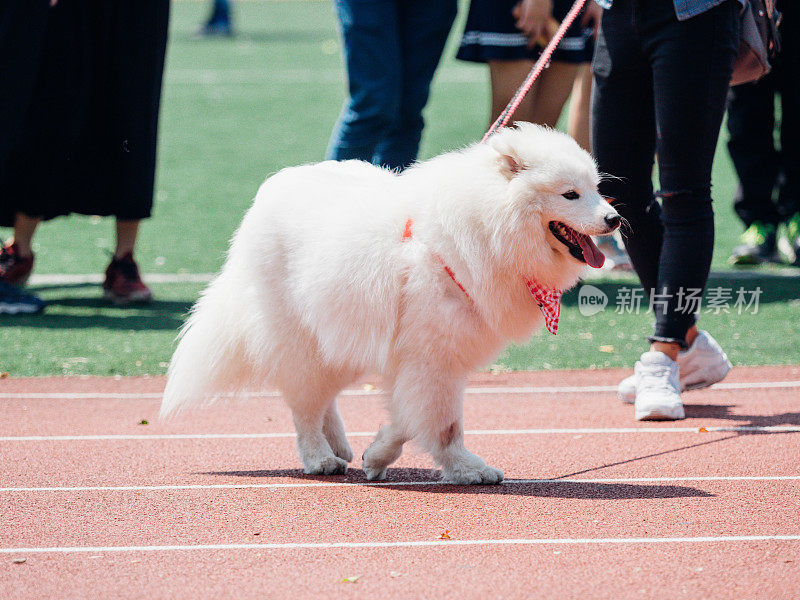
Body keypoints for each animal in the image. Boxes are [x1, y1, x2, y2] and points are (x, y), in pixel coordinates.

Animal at [161, 122, 620, 482]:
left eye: (598, 190)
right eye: (570, 194)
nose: (615, 219)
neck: (485, 227)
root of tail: (269, 192)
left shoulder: (428, 358)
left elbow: (408, 417)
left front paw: (376, 456)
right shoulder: (432, 356)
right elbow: (442, 424)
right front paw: (466, 469)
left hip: (339, 336)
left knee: (322, 397)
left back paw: (340, 446)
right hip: (303, 339)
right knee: (304, 407)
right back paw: (320, 458)